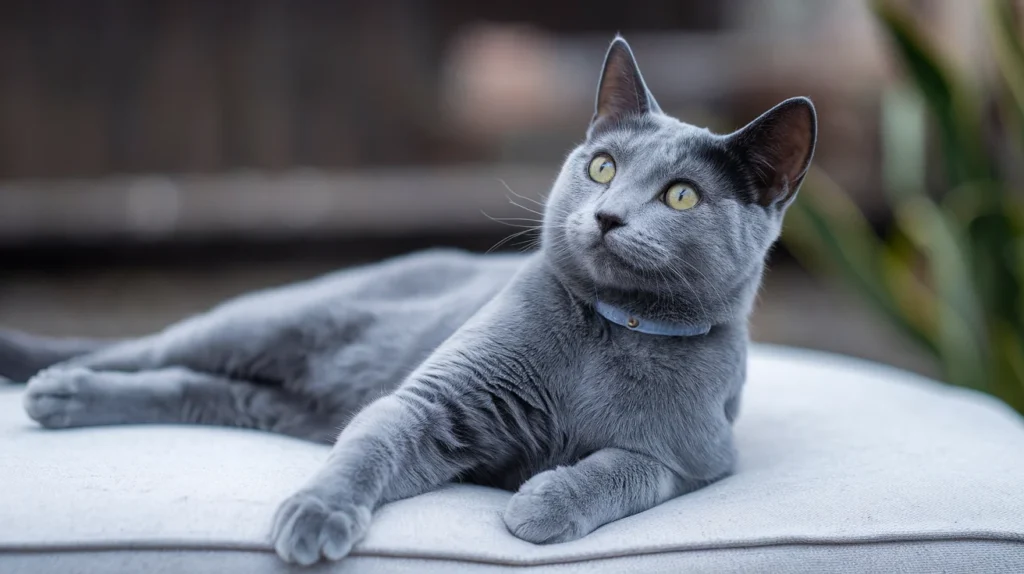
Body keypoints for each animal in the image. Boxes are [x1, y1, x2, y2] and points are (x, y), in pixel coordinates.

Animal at [0, 36, 815, 564]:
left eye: (680, 195)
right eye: (603, 167)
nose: (608, 215)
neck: (612, 329)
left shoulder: (702, 457)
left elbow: (630, 469)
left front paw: (542, 503)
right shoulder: (435, 402)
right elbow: (370, 450)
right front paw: (317, 514)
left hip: (286, 403)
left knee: (199, 389)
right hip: (271, 319)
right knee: (150, 349)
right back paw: (57, 388)